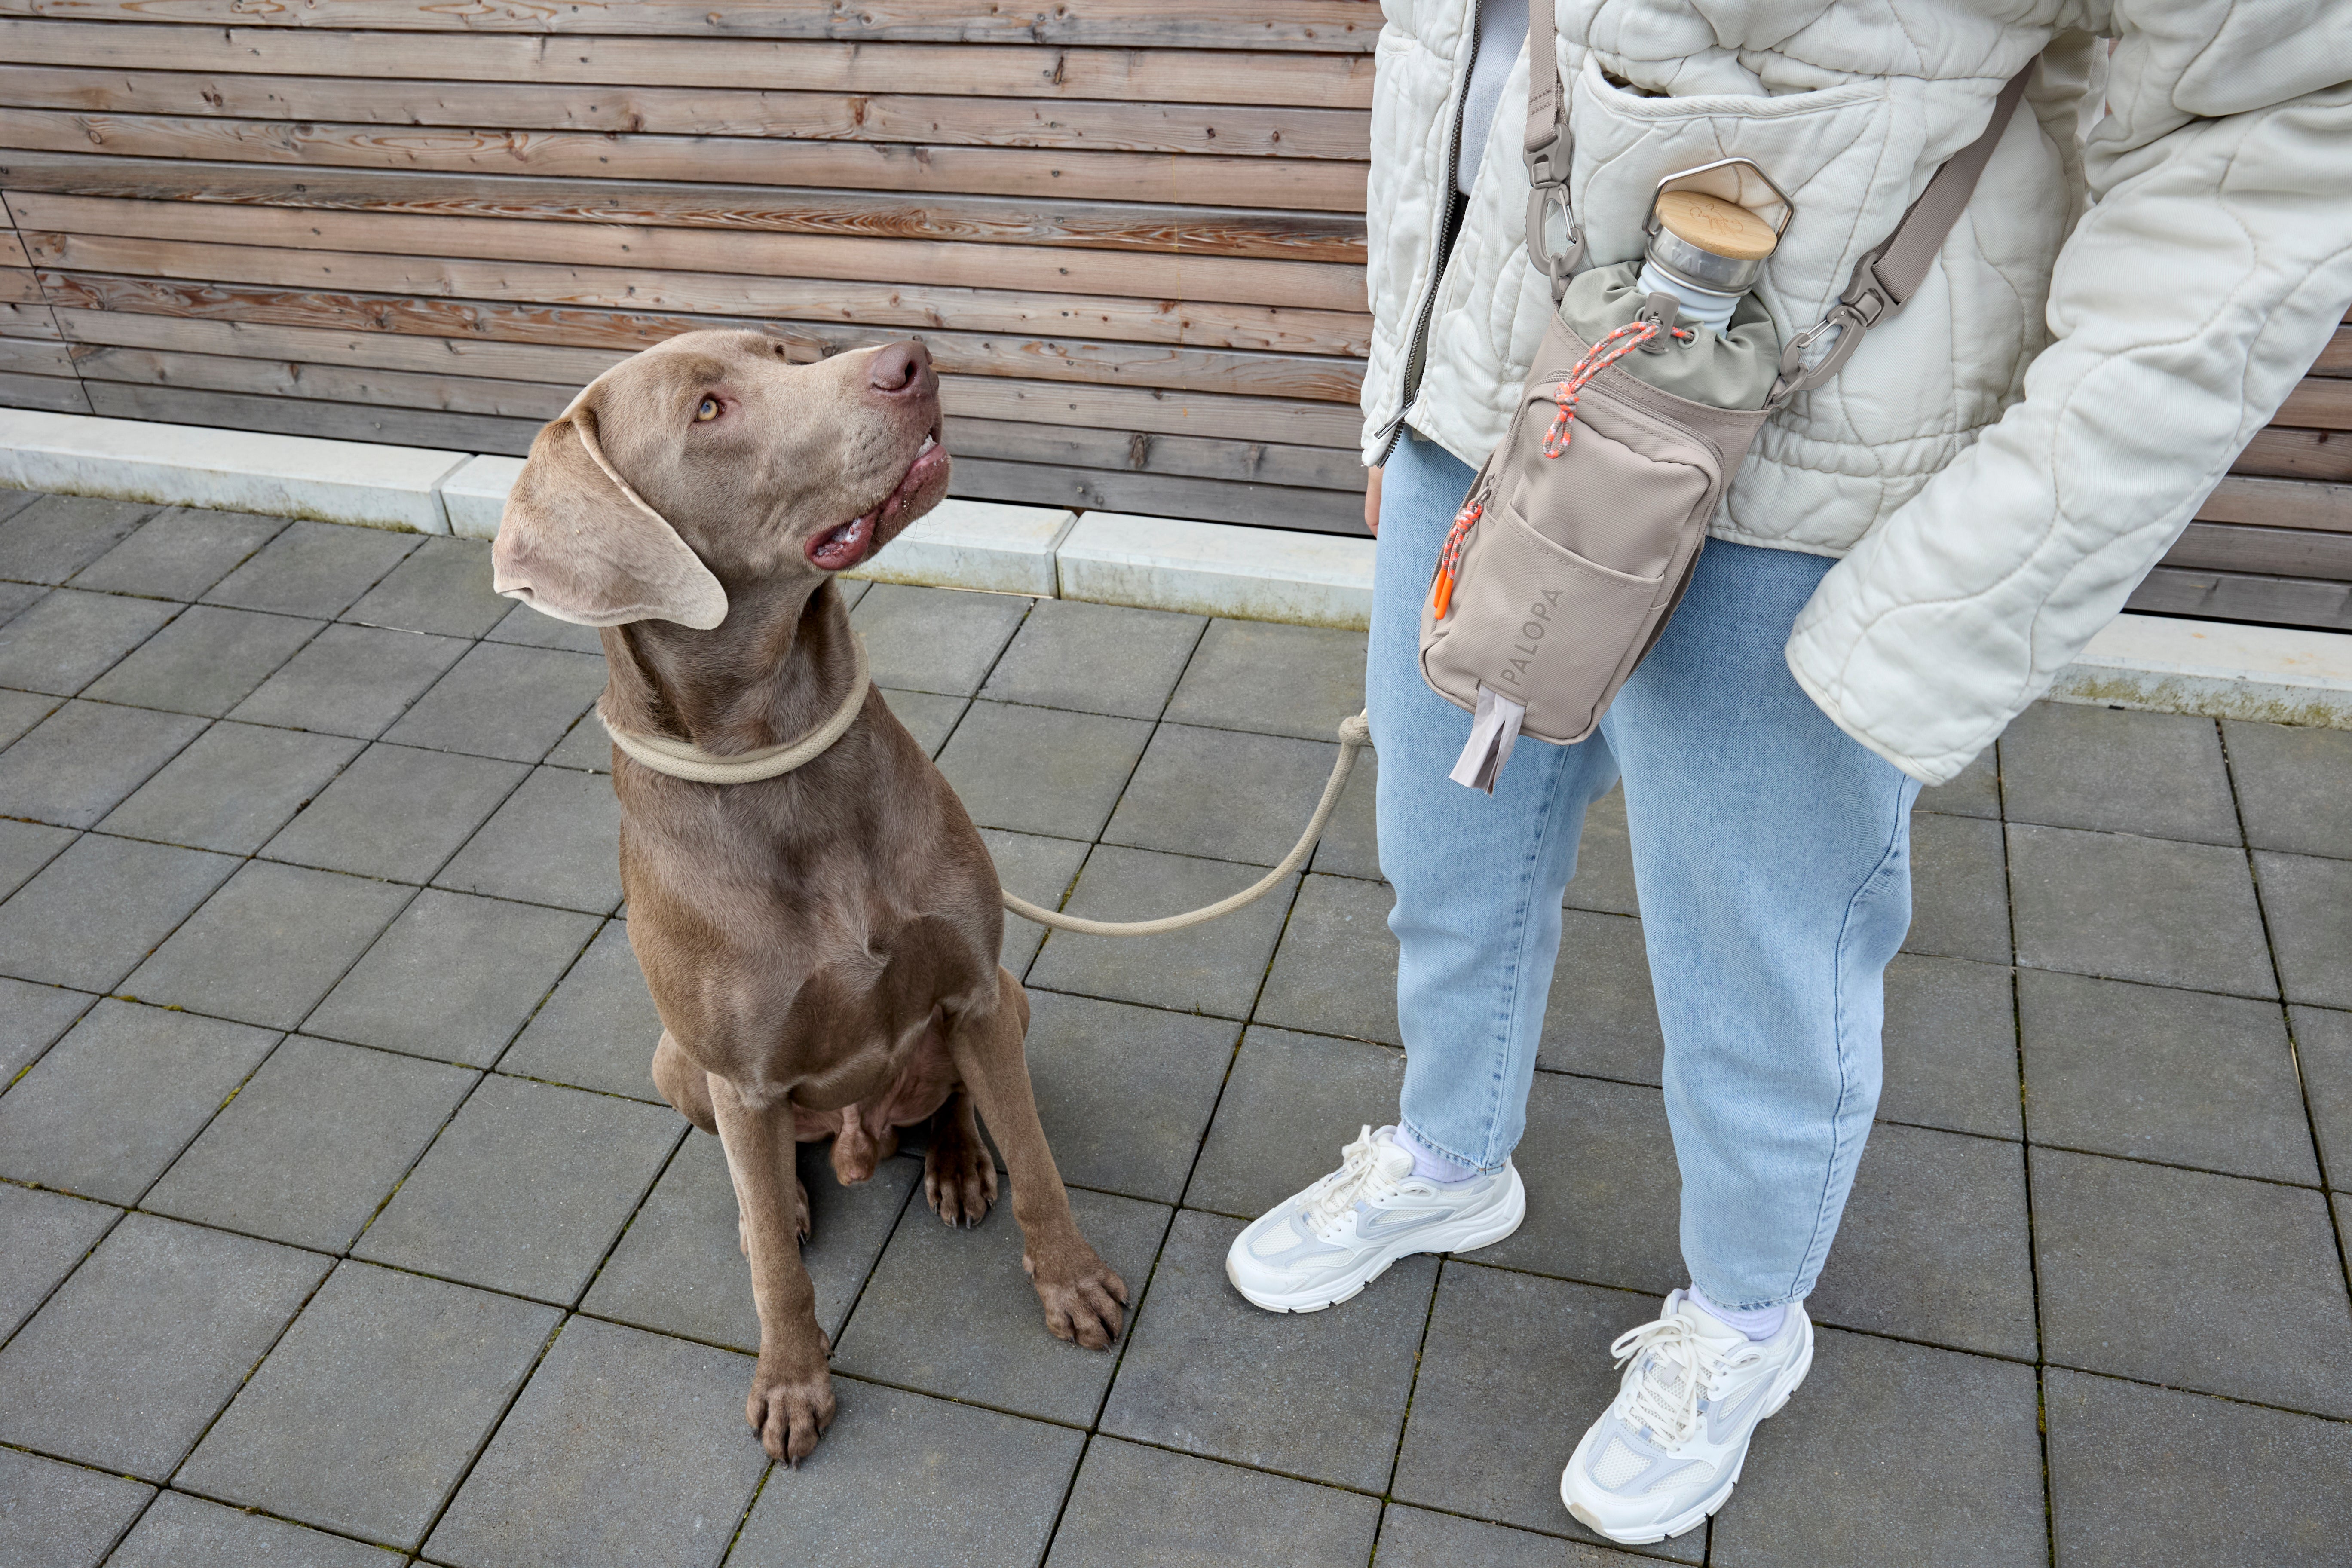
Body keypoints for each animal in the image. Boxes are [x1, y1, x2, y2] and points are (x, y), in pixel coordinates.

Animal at [487, 324, 1119, 1467]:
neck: (782, 758)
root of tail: (859, 1138)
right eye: (706, 409)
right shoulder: (739, 1075)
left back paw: (955, 1162)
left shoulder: (975, 989)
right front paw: (791, 1383)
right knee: (767, 1172)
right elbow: (779, 1281)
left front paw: (1073, 1284)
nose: (911, 361)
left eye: (786, 348)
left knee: (955, 1100)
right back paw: (774, 1205)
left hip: (1011, 1001)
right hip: (676, 1065)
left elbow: (1040, 1164)